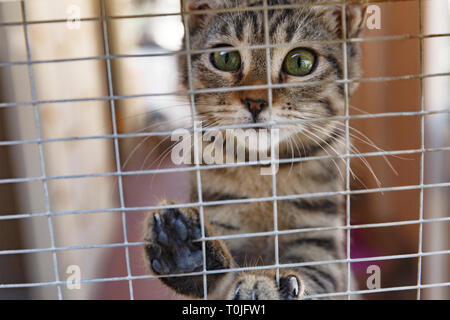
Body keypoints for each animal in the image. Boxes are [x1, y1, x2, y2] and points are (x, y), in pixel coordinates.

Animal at [143, 0, 366, 300]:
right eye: (225, 58)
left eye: (300, 62)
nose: (256, 102)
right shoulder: (221, 213)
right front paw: (185, 253)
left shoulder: (319, 235)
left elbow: (316, 272)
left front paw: (272, 285)